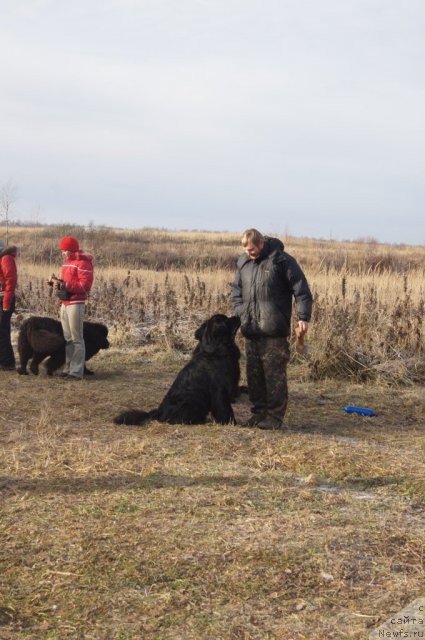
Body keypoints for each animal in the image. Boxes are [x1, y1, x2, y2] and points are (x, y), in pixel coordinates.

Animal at [112, 314, 240, 428]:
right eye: (227, 320)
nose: (237, 316)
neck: (215, 350)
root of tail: (158, 413)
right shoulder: (219, 391)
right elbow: (225, 410)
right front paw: (232, 423)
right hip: (190, 401)